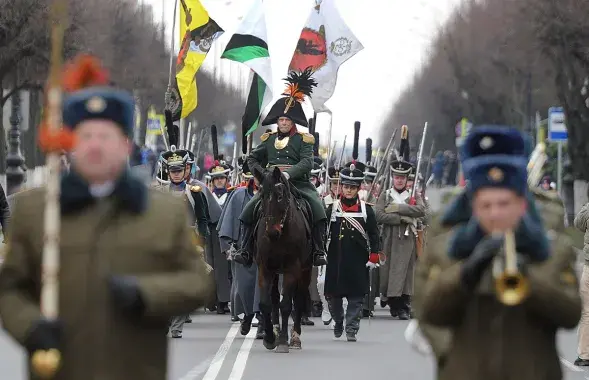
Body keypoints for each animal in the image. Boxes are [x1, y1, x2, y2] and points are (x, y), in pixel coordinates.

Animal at [253, 167, 312, 354]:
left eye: (280, 196)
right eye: (262, 195)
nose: (272, 232)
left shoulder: (292, 268)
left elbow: (286, 304)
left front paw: (283, 342)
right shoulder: (264, 267)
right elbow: (265, 303)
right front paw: (270, 338)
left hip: (306, 270)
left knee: (298, 299)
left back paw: (295, 337)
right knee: (273, 298)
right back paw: (276, 330)